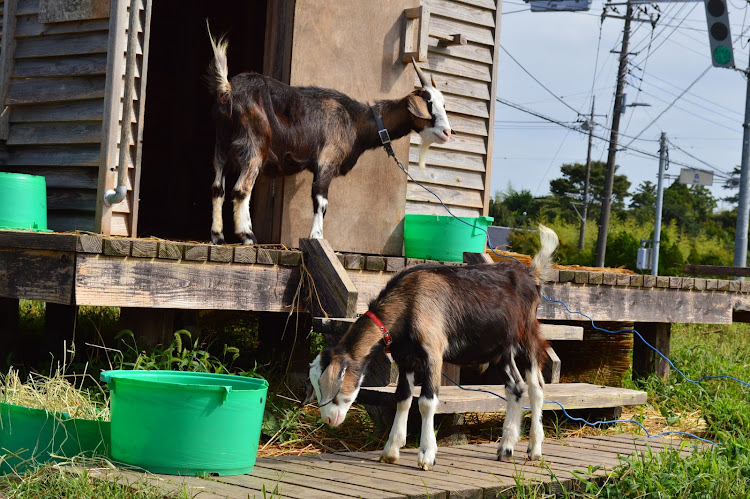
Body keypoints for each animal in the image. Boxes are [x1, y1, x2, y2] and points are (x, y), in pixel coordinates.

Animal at [206, 30, 452, 245]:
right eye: (429, 103)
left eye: (443, 104)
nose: (447, 132)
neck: (356, 120)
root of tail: (228, 90)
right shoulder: (328, 160)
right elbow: (321, 201)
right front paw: (317, 237)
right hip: (255, 146)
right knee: (242, 189)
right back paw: (248, 236)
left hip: (221, 146)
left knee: (218, 188)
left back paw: (218, 236)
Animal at [308, 225, 560, 470]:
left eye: (328, 384)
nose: (328, 419)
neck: (409, 301)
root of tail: (530, 274)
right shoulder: (405, 358)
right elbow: (403, 398)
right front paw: (390, 451)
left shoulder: (433, 353)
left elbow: (426, 402)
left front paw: (427, 455)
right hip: (500, 349)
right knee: (515, 387)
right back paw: (505, 448)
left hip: (527, 335)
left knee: (536, 388)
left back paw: (534, 449)